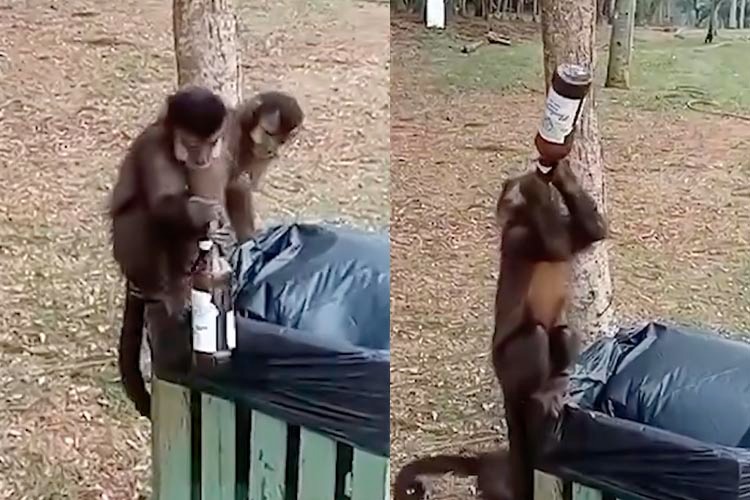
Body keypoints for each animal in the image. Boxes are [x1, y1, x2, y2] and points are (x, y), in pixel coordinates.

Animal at [491, 160, 608, 500]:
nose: (508, 199)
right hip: (505, 367)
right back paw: (537, 393)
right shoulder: (518, 238)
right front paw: (536, 187)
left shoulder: (564, 227)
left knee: (564, 332)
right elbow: (557, 247)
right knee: (535, 336)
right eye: (506, 193)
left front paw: (559, 175)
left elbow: (595, 231)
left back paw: (555, 385)